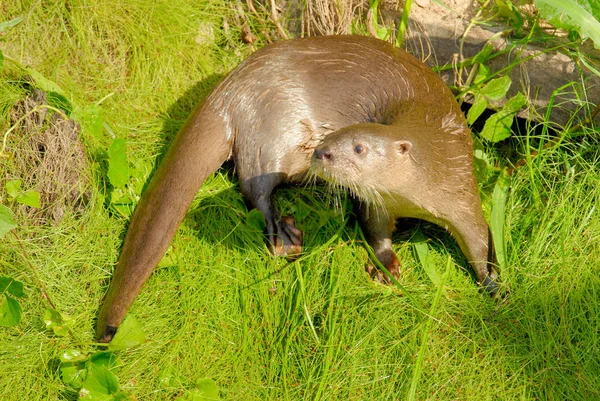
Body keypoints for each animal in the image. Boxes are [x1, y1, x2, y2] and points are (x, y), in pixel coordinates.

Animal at [96, 34, 500, 342]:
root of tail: (229, 89)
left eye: (358, 147)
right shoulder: (377, 203)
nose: (322, 151)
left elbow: (478, 236)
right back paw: (284, 235)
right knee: (254, 186)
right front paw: (385, 265)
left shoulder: (460, 188)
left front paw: (494, 285)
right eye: (334, 135)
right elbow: (374, 228)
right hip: (273, 129)